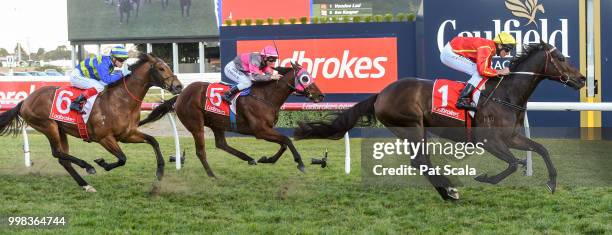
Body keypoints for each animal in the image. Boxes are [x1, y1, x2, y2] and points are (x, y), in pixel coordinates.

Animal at [0, 53, 182, 193]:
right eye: (161, 68)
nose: (178, 86)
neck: (121, 101)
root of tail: (25, 101)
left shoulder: (127, 134)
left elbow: (153, 141)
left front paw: (160, 171)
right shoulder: (104, 138)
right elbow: (122, 158)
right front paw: (102, 163)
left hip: (60, 130)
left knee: (63, 158)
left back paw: (86, 185)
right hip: (48, 126)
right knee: (57, 153)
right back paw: (87, 166)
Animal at [139, 61, 326, 177]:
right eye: (305, 78)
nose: (320, 95)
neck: (265, 96)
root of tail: (180, 95)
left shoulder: (267, 129)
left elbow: (284, 144)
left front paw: (266, 159)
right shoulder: (260, 131)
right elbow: (287, 140)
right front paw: (300, 163)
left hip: (216, 123)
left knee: (221, 144)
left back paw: (249, 159)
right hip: (196, 124)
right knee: (201, 151)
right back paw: (212, 175)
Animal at [296, 42, 588, 200]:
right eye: (561, 58)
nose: (583, 78)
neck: (506, 94)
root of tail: (381, 93)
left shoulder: (513, 137)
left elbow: (541, 149)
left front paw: (551, 182)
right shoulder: (490, 141)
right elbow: (514, 164)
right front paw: (485, 178)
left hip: (416, 130)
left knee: (421, 162)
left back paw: (447, 191)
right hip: (412, 127)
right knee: (420, 162)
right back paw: (450, 191)